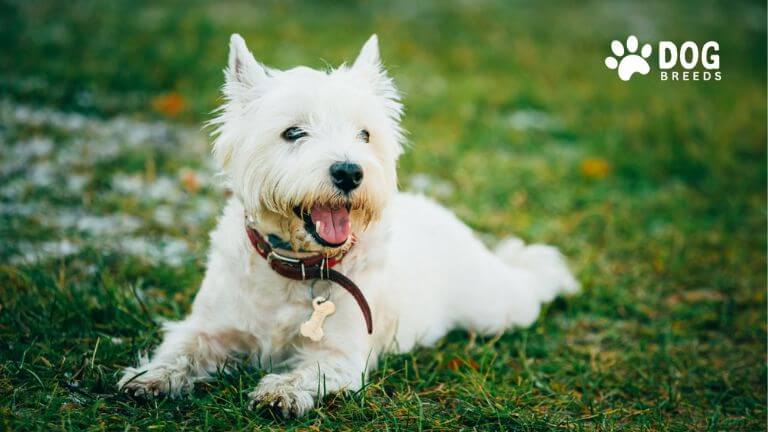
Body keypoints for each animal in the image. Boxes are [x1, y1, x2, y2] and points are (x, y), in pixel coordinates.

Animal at [118, 34, 576, 418]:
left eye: (364, 134)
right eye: (293, 132)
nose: (350, 172)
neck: (299, 266)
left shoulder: (341, 354)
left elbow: (309, 371)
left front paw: (280, 391)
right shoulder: (212, 326)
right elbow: (182, 347)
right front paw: (150, 377)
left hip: (493, 308)